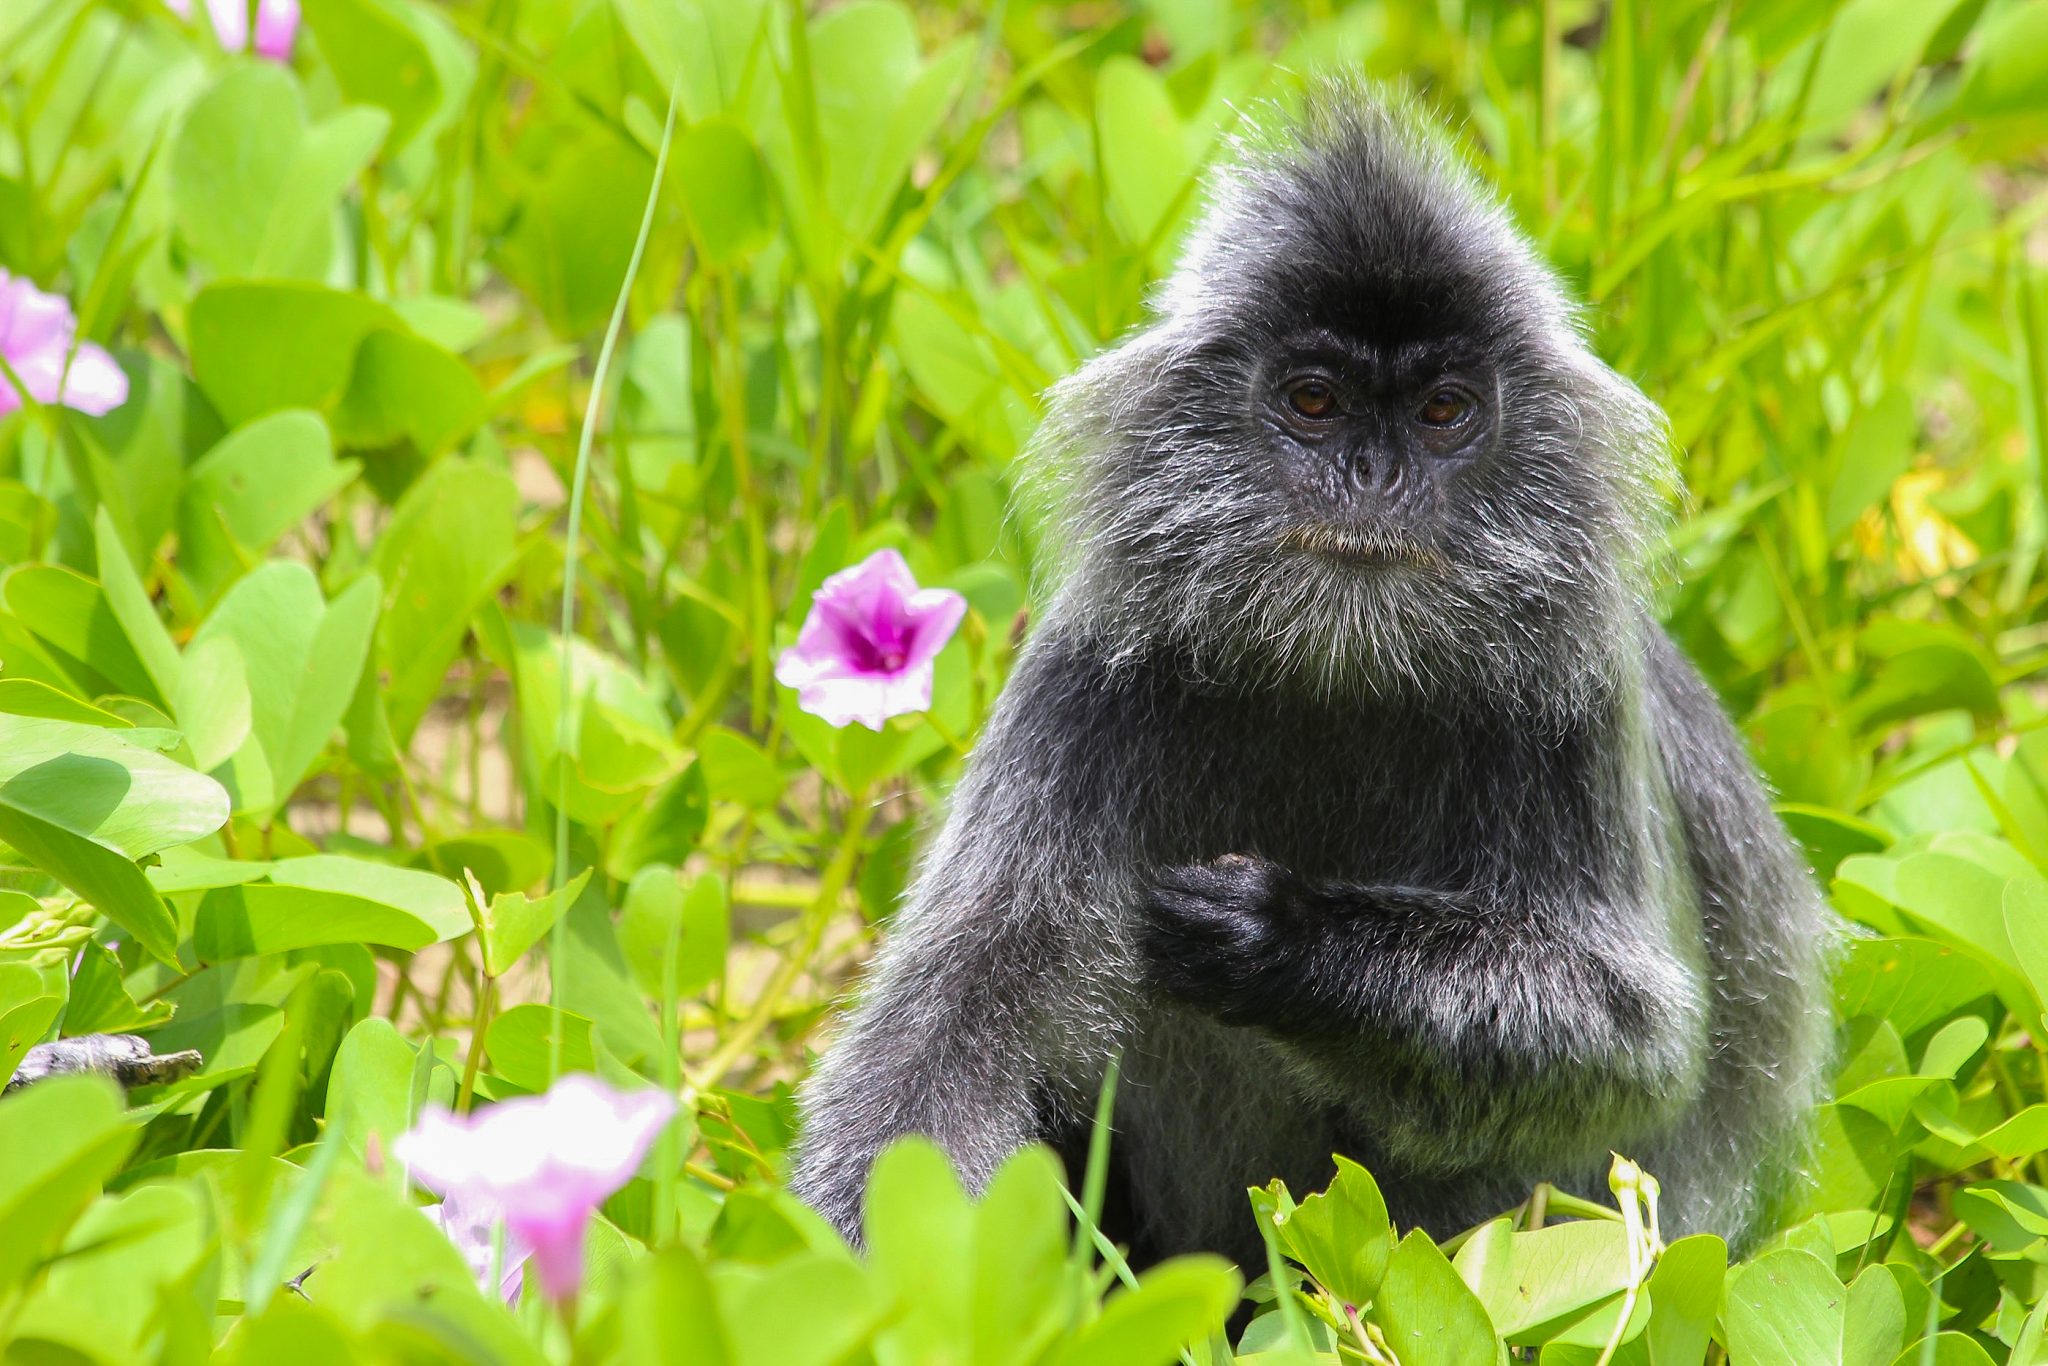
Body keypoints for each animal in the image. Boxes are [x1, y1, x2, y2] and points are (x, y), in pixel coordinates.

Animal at [789, 81, 1834, 1275]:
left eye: (1440, 412)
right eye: (1315, 401)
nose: (1370, 476)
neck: (1336, 669)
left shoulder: (1574, 703)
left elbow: (1628, 1043)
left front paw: (1272, 934)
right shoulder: (1080, 683)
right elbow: (940, 1030)